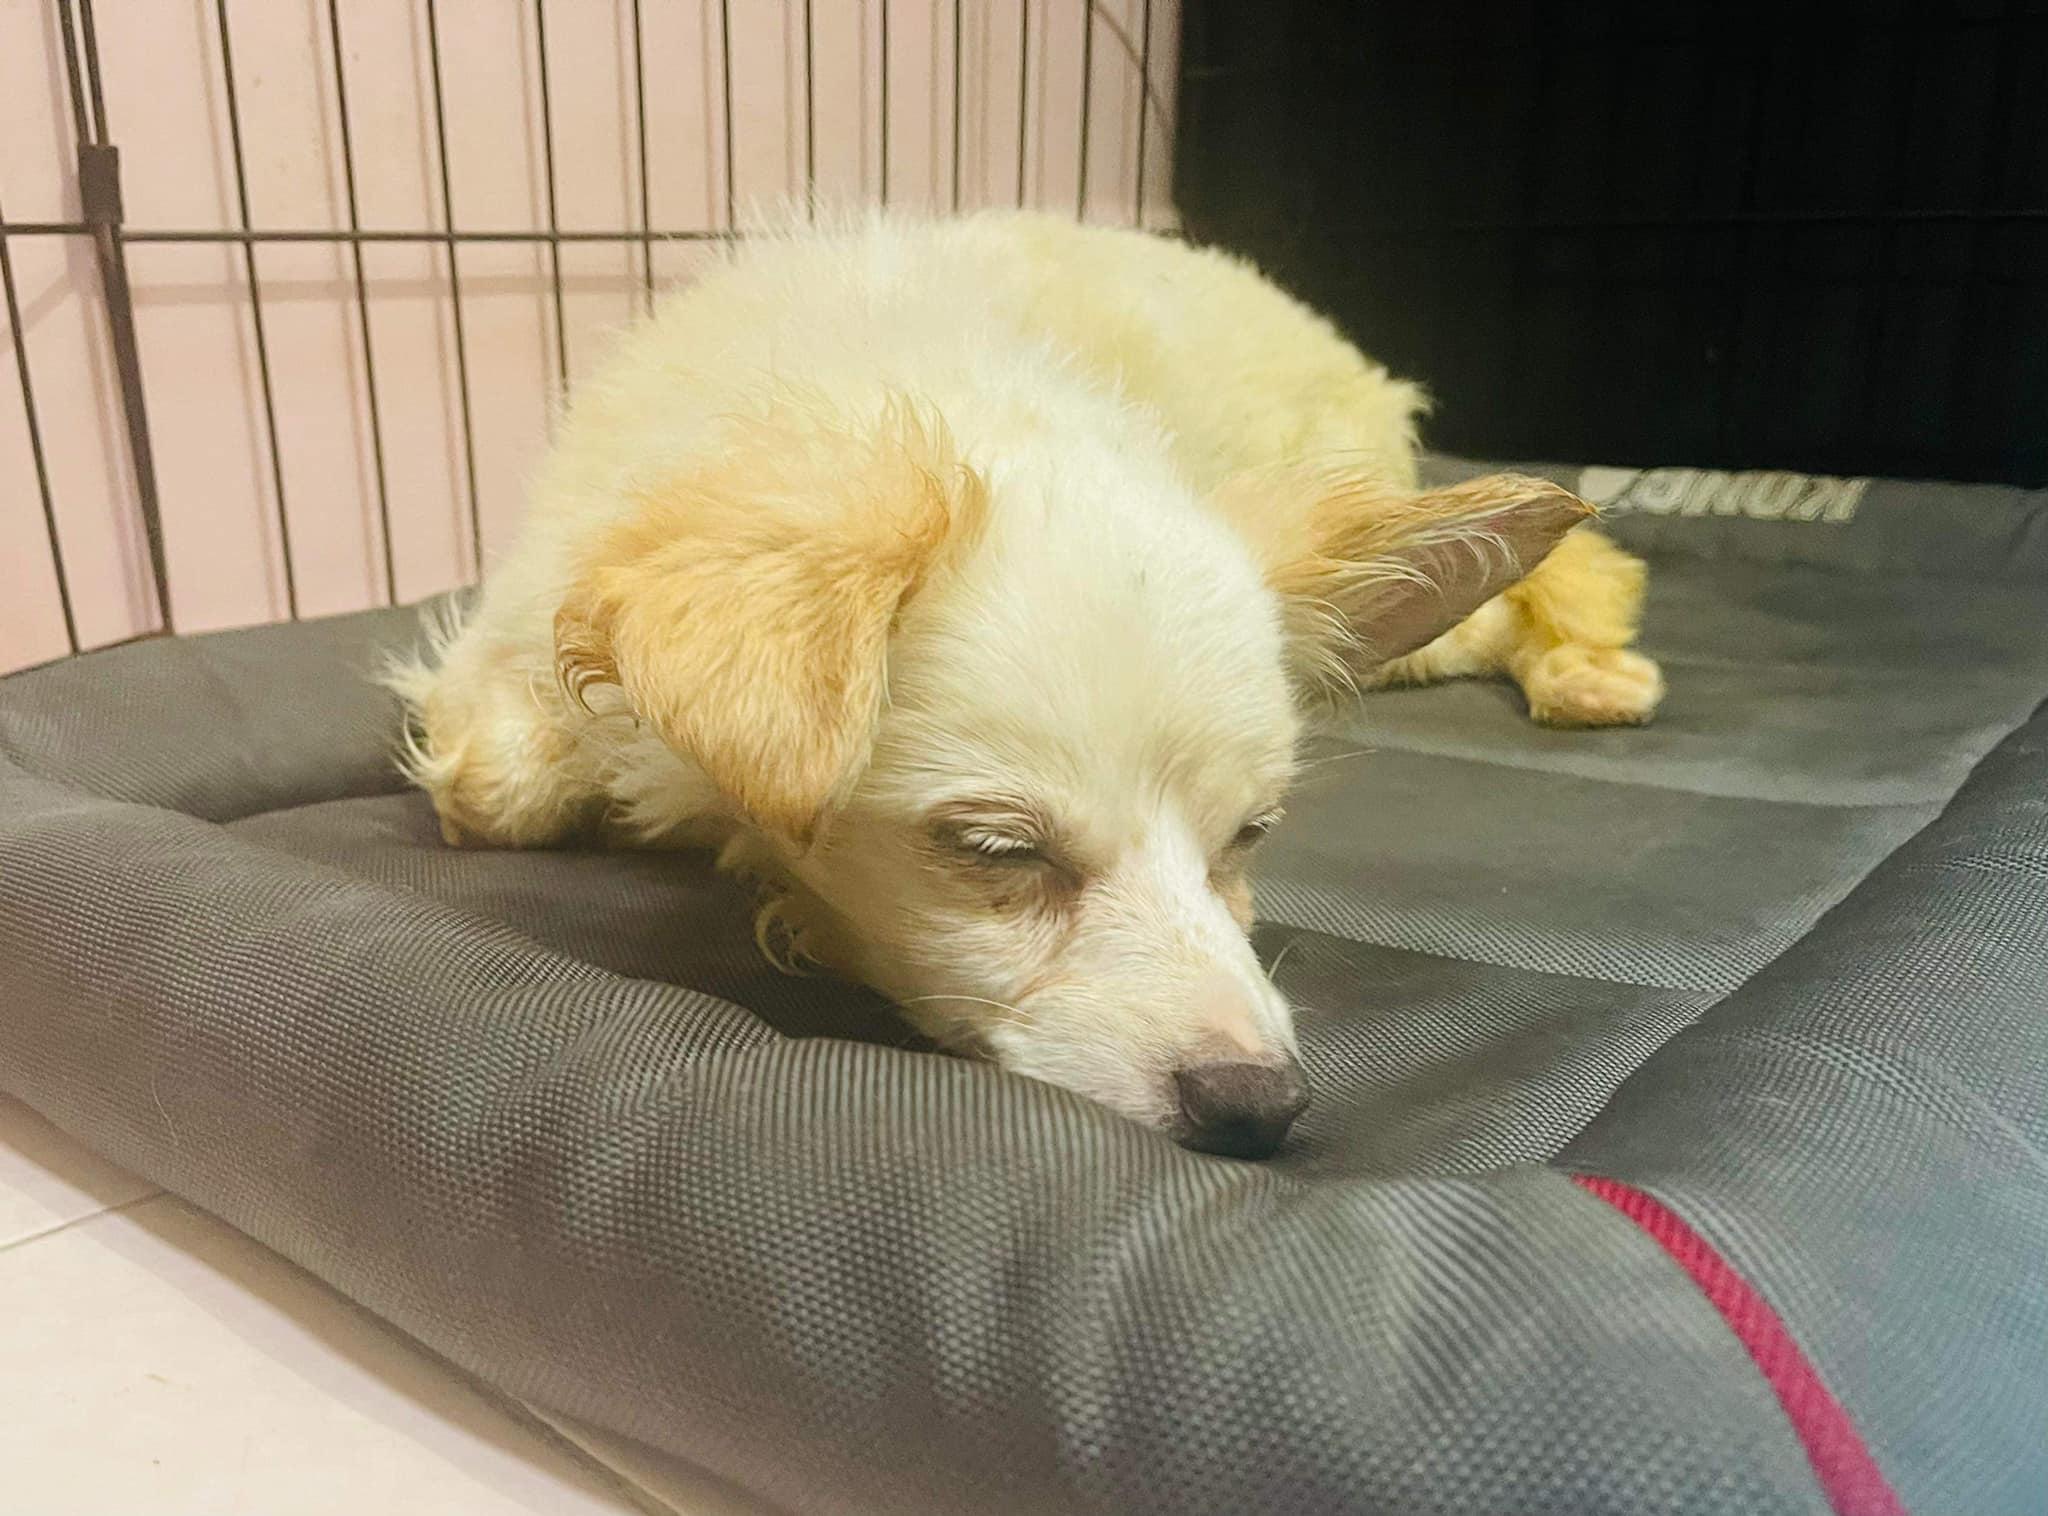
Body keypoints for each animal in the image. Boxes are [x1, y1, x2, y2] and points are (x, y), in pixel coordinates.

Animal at [387, 209, 1662, 1163]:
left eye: (1248, 836)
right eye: (995, 851)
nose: (1260, 1107)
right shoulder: (533, 615)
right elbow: (492, 785)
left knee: (1545, 583)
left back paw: (1591, 665)